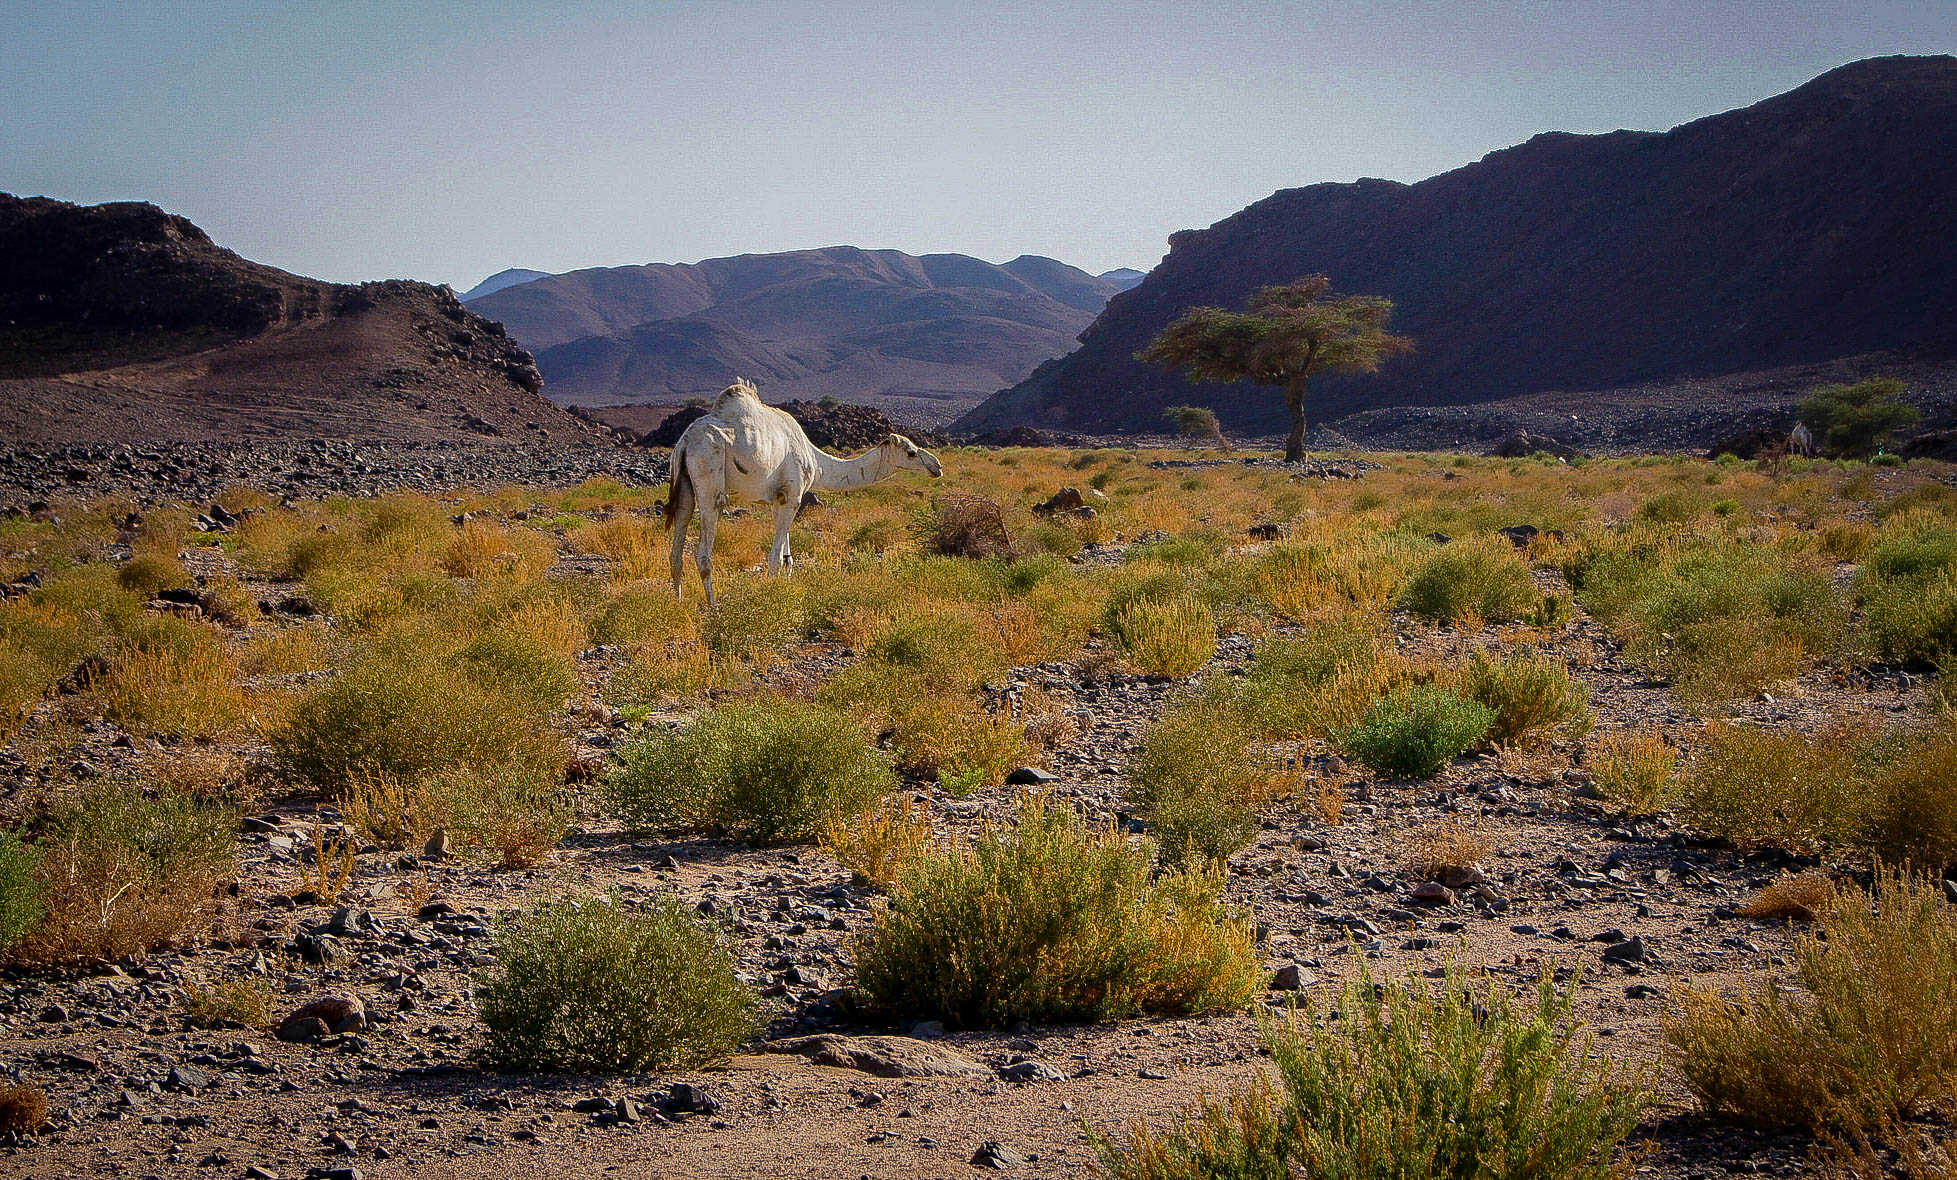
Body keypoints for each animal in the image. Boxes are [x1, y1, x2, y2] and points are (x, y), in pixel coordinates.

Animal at [661, 377, 943, 598]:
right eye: (910, 452)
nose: (937, 466)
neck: (817, 463)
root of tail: (685, 442)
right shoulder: (793, 497)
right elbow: (775, 559)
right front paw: (770, 597)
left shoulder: (778, 499)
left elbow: (788, 558)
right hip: (709, 473)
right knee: (704, 552)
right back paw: (713, 609)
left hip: (685, 482)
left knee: (677, 545)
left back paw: (679, 603)